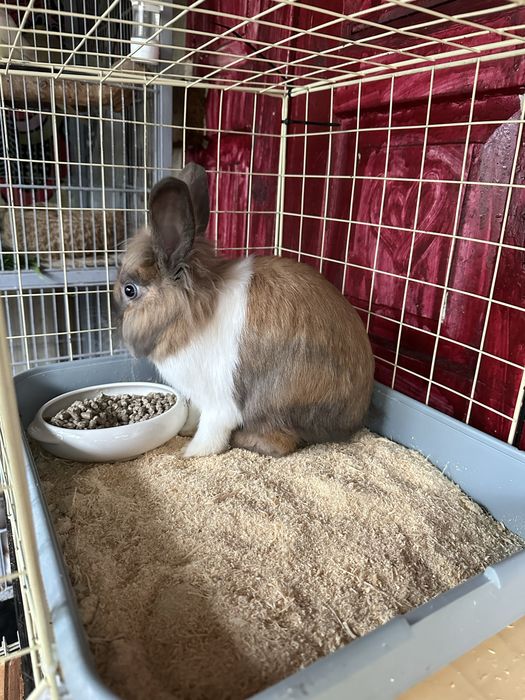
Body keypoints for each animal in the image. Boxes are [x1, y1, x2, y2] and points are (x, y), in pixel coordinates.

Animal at [114, 162, 375, 458]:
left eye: (130, 290)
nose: (119, 334)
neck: (187, 316)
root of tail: (352, 421)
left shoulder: (219, 400)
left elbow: (211, 431)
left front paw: (190, 452)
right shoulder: (199, 397)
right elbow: (195, 415)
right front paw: (185, 430)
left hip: (272, 400)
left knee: (281, 443)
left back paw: (244, 439)